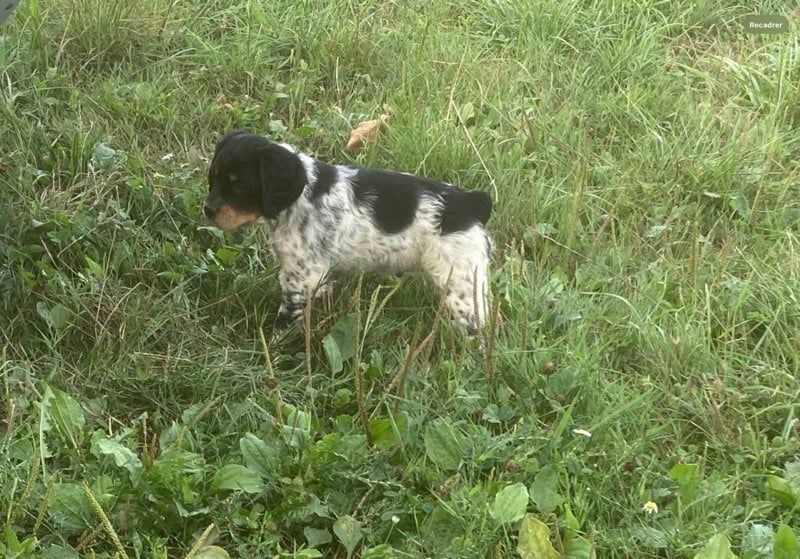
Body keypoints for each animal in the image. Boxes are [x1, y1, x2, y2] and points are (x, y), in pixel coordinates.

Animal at [205, 129, 494, 334]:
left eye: (239, 185)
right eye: (213, 178)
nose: (207, 210)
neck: (300, 198)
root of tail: (472, 202)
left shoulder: (299, 278)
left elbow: (284, 321)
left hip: (461, 284)